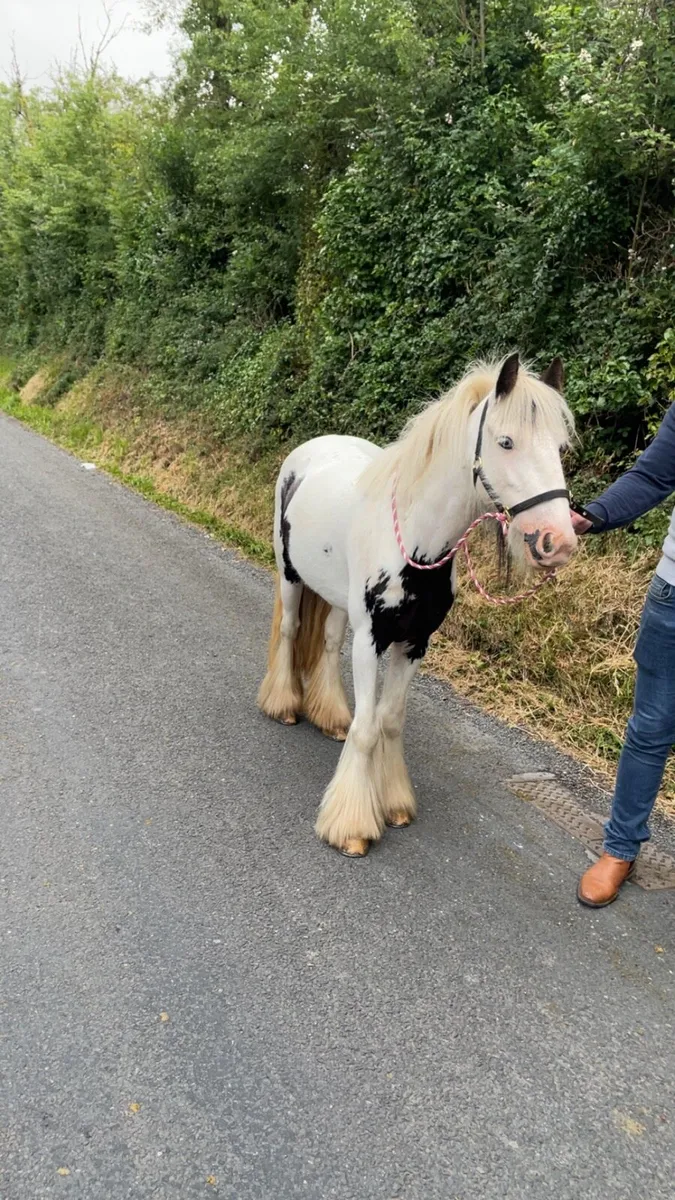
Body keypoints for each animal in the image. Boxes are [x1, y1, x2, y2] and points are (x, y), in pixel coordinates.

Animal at [258, 352, 577, 857]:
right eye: (506, 442)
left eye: (561, 448)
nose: (557, 541)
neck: (415, 542)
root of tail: (315, 446)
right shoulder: (371, 640)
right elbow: (368, 728)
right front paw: (351, 826)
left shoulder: (414, 644)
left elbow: (389, 721)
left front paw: (393, 802)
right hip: (290, 577)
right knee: (290, 631)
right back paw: (284, 705)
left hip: (335, 598)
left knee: (326, 643)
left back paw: (330, 716)